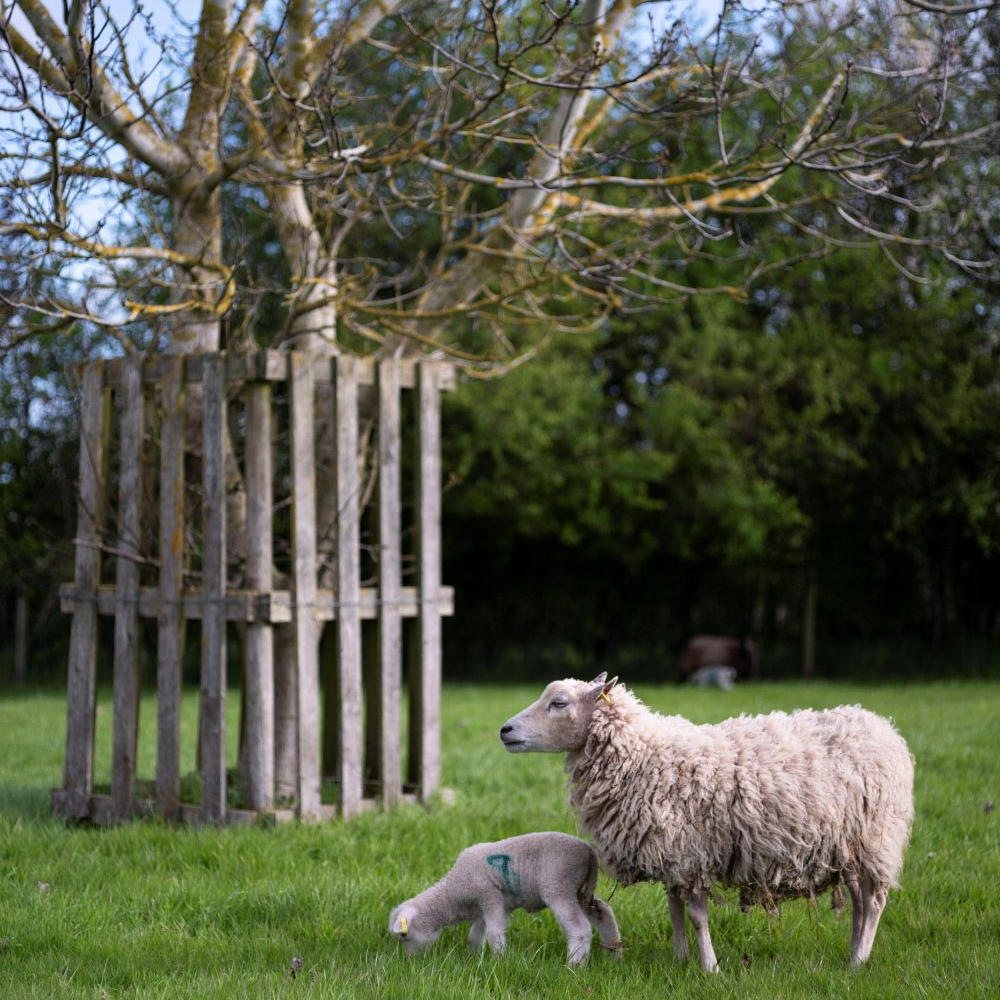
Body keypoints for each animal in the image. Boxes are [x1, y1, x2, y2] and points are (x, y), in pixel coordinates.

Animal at [388, 832, 623, 966]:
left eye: (404, 936)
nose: (409, 962)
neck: (453, 892)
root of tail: (588, 851)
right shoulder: (483, 908)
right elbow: (475, 934)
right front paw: (473, 958)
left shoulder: (489, 896)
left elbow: (493, 933)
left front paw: (499, 961)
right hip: (581, 890)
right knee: (604, 912)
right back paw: (614, 953)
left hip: (559, 886)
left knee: (580, 928)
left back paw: (575, 966)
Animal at [500, 674, 914, 971]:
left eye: (559, 703)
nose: (505, 730)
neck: (645, 756)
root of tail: (884, 727)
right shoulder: (669, 852)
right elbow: (673, 908)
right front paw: (679, 958)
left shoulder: (692, 853)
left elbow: (697, 916)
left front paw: (709, 967)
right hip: (848, 846)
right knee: (859, 900)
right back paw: (853, 950)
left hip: (878, 837)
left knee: (874, 901)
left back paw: (858, 962)